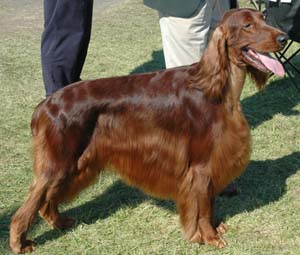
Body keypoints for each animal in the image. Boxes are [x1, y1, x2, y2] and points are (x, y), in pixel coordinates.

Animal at [9, 8, 288, 254]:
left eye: (264, 17)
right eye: (247, 25)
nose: (284, 38)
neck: (218, 88)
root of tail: (46, 104)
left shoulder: (210, 166)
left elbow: (209, 201)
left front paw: (213, 229)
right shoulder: (201, 167)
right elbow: (204, 207)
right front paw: (209, 237)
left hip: (74, 163)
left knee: (45, 202)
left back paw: (60, 222)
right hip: (57, 163)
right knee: (29, 205)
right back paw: (19, 243)